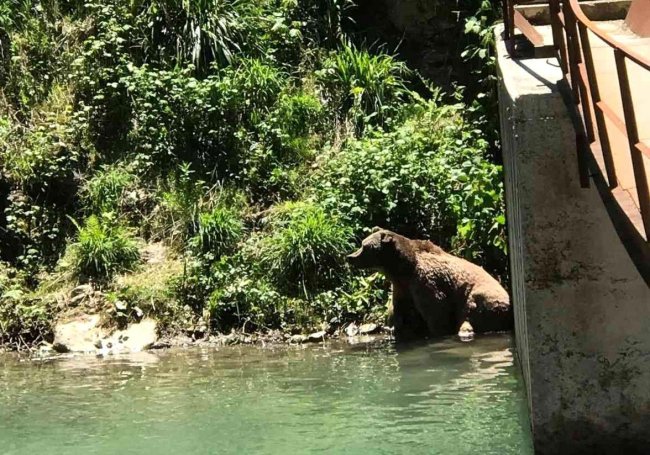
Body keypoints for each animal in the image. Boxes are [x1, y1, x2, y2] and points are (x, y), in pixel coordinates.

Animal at [344, 230, 512, 340]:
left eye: (365, 247)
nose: (350, 257)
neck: (404, 268)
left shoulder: (426, 282)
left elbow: (437, 311)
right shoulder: (402, 287)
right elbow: (401, 311)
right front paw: (398, 328)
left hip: (482, 298)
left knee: (470, 313)